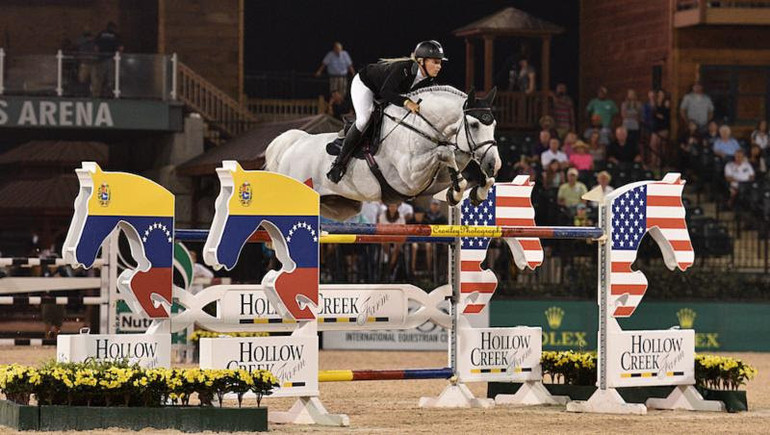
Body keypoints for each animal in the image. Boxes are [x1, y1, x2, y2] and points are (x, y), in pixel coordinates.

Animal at [266, 85, 504, 221]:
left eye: (494, 125)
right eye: (474, 125)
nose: (494, 164)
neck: (420, 126)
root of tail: (294, 144)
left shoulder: (434, 181)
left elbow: (459, 160)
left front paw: (475, 191)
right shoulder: (409, 178)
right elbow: (445, 152)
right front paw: (459, 189)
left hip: (340, 205)